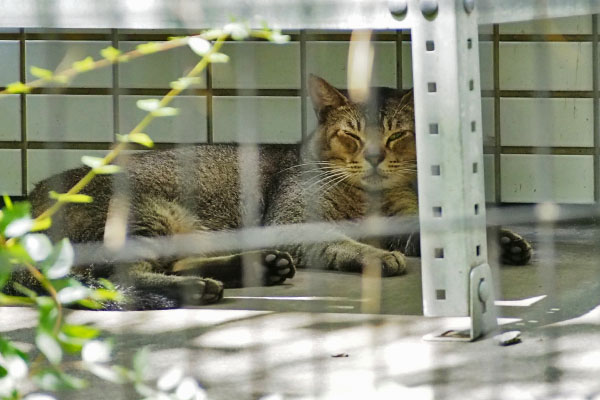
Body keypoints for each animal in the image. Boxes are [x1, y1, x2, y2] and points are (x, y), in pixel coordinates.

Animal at [3, 76, 528, 310]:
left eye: (398, 135)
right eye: (352, 135)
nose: (376, 157)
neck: (369, 198)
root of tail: (31, 203)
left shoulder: (405, 218)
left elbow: (431, 235)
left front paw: (500, 242)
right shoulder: (292, 221)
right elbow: (338, 241)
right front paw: (376, 257)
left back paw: (257, 268)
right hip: (146, 216)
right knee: (113, 277)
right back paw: (199, 288)